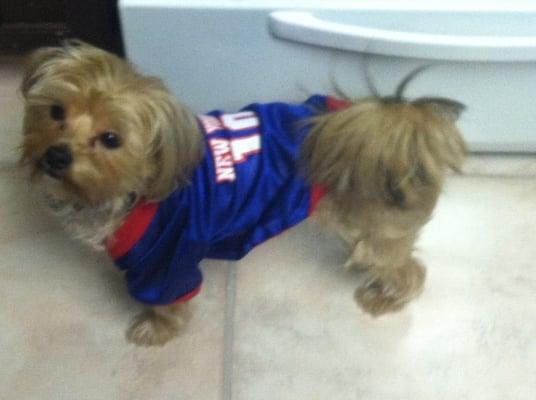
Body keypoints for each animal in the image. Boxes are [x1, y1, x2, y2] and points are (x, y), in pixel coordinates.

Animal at [18, 41, 466, 346]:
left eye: (111, 139)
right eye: (56, 111)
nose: (55, 155)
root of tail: (400, 131)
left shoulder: (166, 261)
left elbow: (166, 302)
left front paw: (155, 329)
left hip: (377, 235)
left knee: (408, 270)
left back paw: (386, 298)